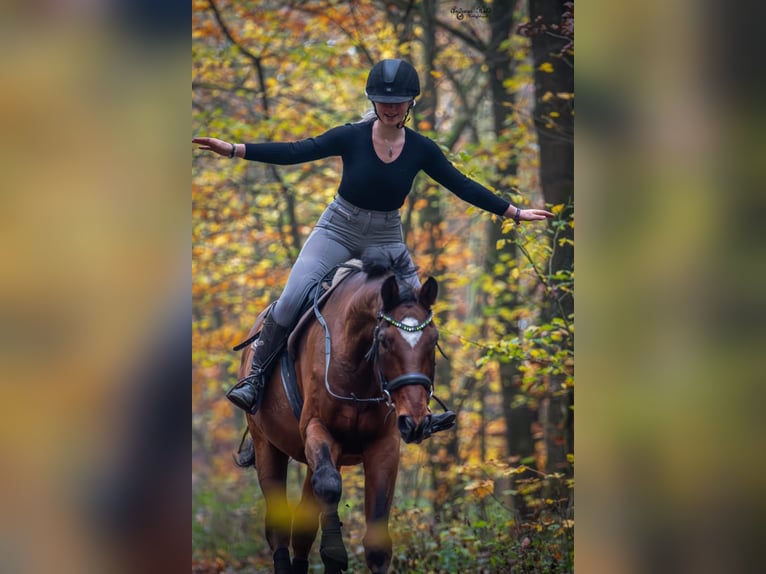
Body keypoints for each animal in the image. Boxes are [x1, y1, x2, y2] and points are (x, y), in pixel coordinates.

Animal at [240, 255, 444, 574]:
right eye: (384, 340)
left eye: (433, 339)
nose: (415, 421)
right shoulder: (317, 428)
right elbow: (329, 485)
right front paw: (335, 552)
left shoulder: (383, 446)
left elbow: (377, 544)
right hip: (267, 446)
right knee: (278, 527)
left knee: (303, 525)